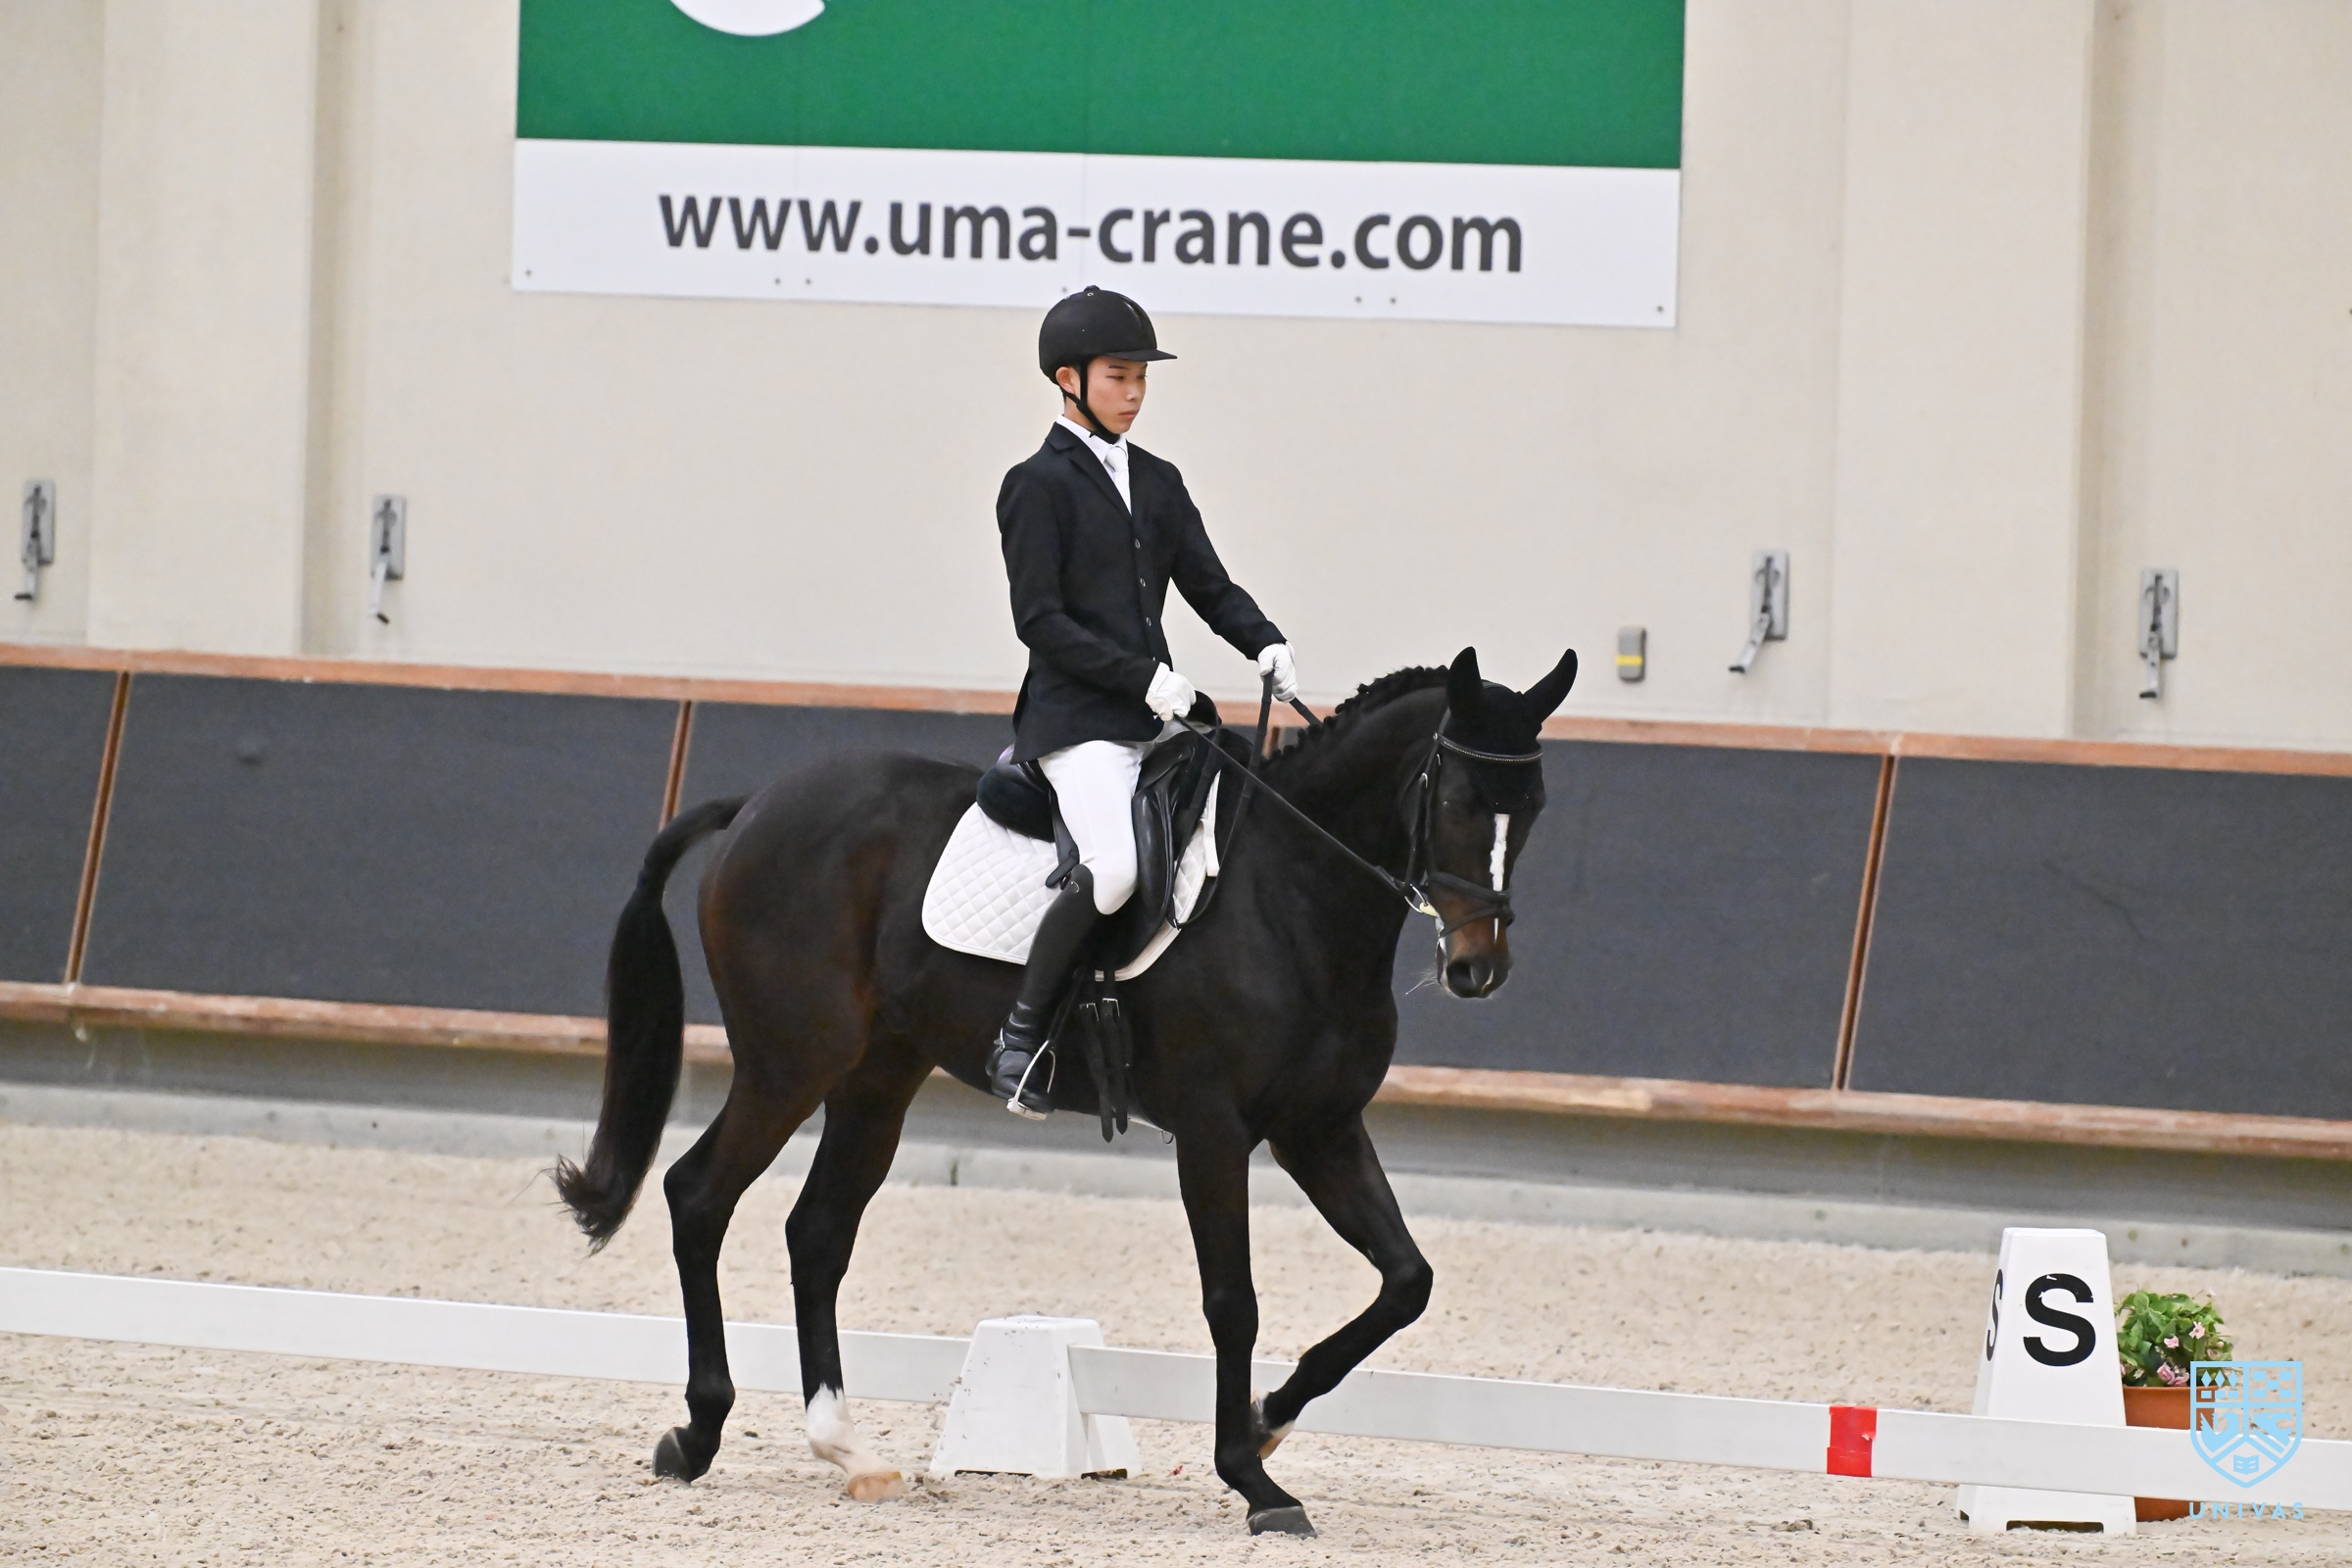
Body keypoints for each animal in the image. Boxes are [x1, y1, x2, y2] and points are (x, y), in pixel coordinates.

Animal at [555, 644, 1577, 1536]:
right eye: (1456, 797)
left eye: (1531, 806)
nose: (1477, 968)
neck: (1292, 898)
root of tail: (756, 805)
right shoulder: (1215, 1132)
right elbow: (1232, 1299)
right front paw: (1253, 1481)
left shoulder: (1319, 1129)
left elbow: (1407, 1280)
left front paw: (1269, 1418)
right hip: (790, 1062)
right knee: (699, 1196)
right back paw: (697, 1433)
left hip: (878, 1077)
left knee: (817, 1233)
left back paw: (847, 1448)